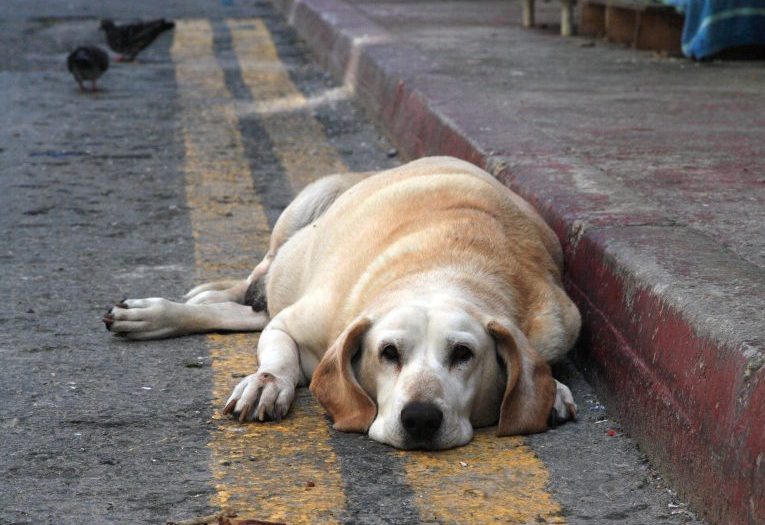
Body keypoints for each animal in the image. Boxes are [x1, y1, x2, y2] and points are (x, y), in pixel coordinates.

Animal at [106, 157, 580, 450]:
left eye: (463, 354)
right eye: (388, 353)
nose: (420, 418)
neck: (448, 266)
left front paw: (553, 390)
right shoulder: (294, 325)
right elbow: (279, 355)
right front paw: (267, 382)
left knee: (246, 313)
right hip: (308, 203)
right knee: (262, 280)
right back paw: (175, 308)